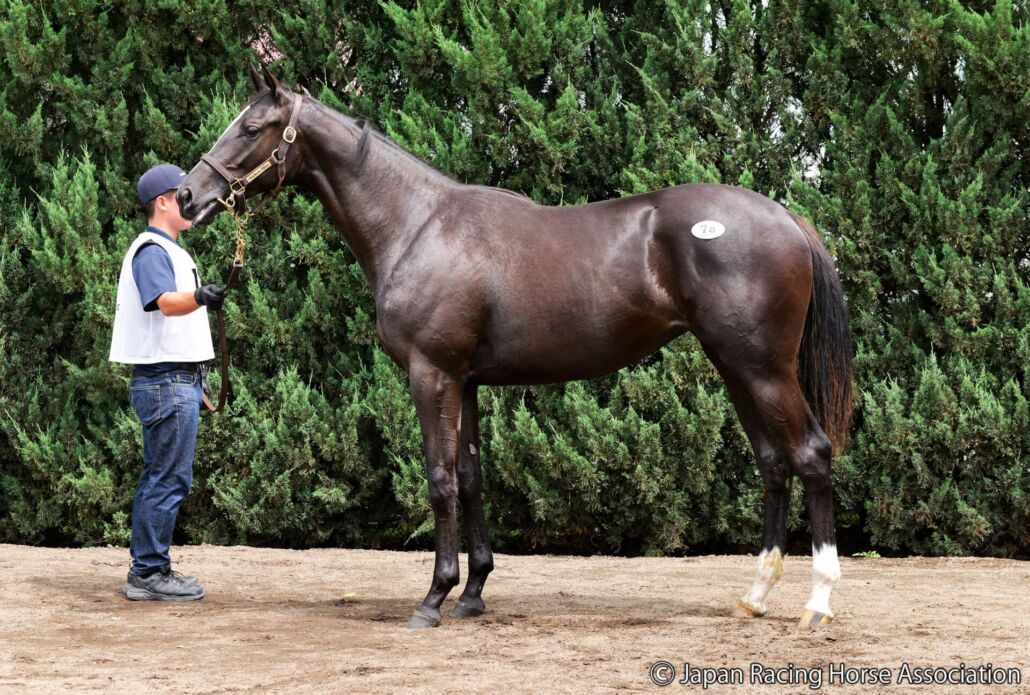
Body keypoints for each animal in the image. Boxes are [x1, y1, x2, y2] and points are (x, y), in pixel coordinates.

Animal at [179, 65, 853, 630]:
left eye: (252, 127)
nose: (188, 196)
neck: (418, 225)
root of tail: (787, 219)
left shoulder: (432, 374)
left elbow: (439, 480)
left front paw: (434, 598)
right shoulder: (468, 381)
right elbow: (472, 477)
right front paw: (474, 592)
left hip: (763, 369)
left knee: (812, 455)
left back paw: (819, 603)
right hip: (735, 368)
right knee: (773, 463)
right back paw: (756, 597)